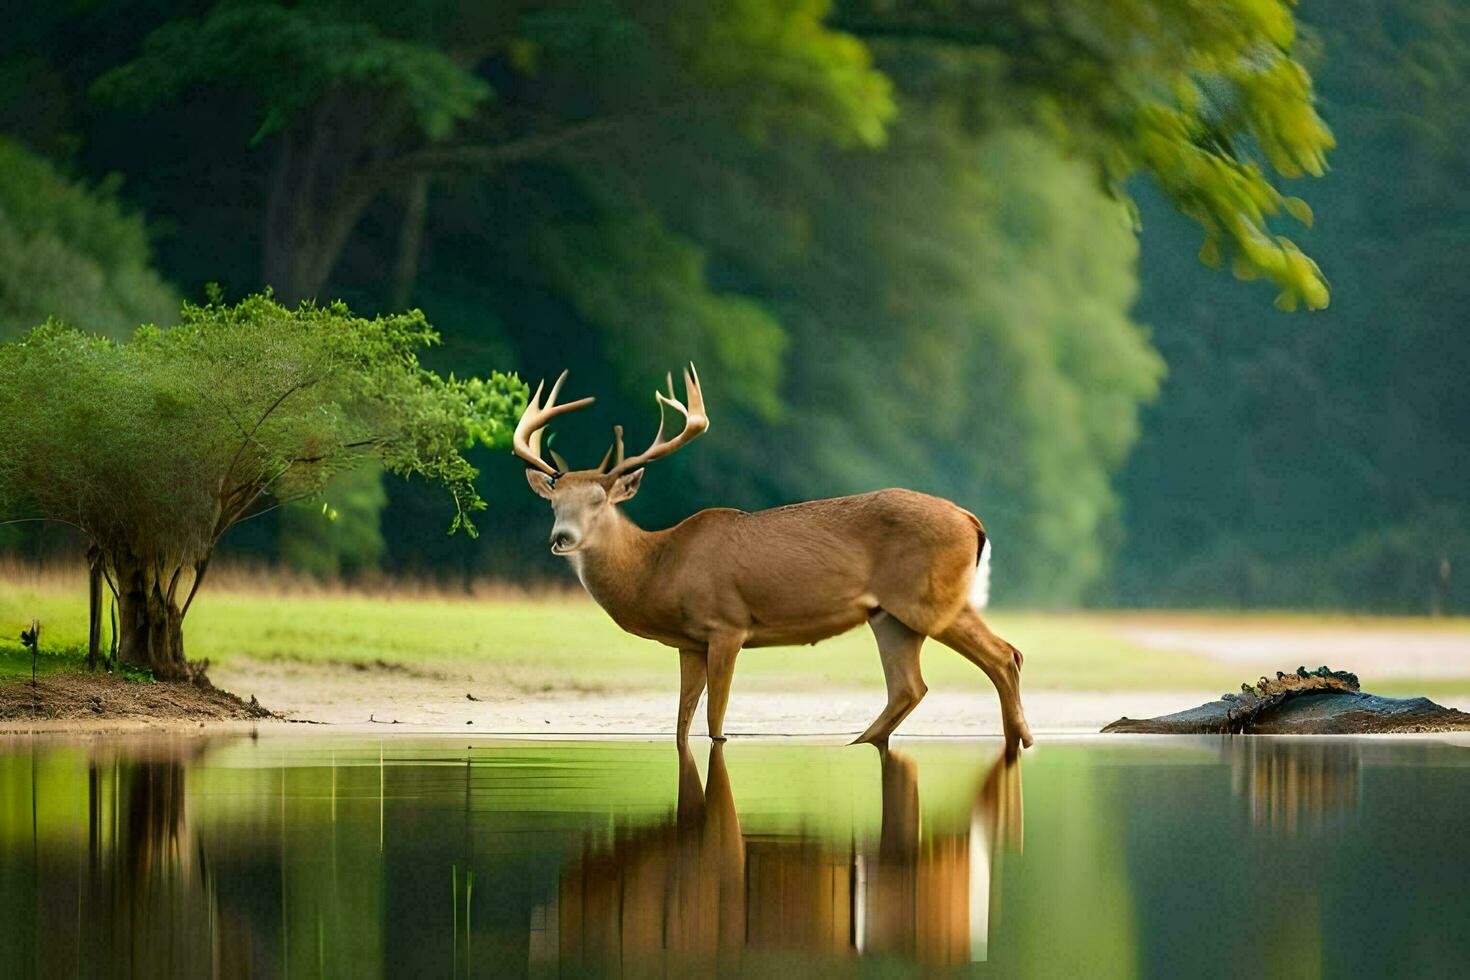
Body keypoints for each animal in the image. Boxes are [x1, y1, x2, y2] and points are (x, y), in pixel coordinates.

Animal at [514, 364, 1034, 758]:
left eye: (598, 501)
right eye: (554, 502)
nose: (561, 537)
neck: (657, 564)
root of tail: (971, 520)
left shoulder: (726, 624)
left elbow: (714, 720)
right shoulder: (687, 643)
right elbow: (681, 723)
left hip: (929, 597)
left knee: (1004, 654)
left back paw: (1019, 742)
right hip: (890, 615)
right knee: (910, 686)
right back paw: (859, 743)